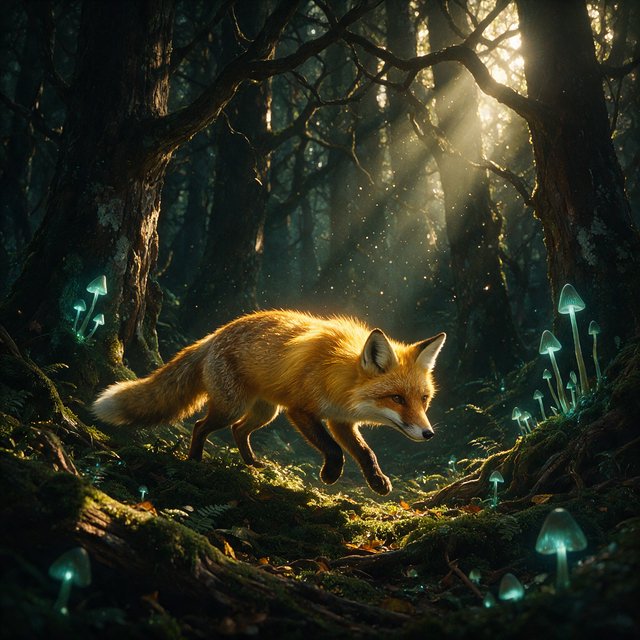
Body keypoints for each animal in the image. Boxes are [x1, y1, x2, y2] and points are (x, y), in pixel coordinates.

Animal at [92, 310, 446, 495]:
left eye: (423, 399)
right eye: (397, 398)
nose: (429, 434)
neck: (339, 376)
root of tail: (214, 335)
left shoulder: (340, 420)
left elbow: (364, 452)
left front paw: (376, 481)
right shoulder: (300, 410)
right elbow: (333, 449)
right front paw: (331, 475)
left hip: (265, 411)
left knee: (238, 430)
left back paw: (251, 463)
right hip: (235, 407)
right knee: (200, 426)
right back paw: (194, 461)